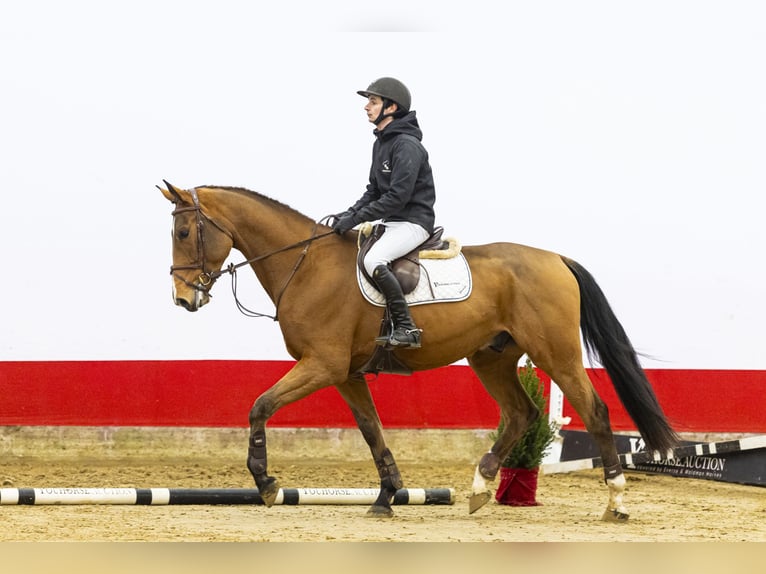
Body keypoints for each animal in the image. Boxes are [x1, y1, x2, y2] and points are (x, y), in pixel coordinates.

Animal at [159, 181, 679, 521]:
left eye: (184, 233)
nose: (183, 300)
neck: (304, 265)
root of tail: (556, 259)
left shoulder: (322, 364)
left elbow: (260, 406)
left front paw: (266, 484)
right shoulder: (346, 373)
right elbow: (372, 430)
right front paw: (386, 497)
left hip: (557, 353)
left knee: (594, 411)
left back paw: (616, 501)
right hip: (491, 357)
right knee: (521, 414)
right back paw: (480, 487)